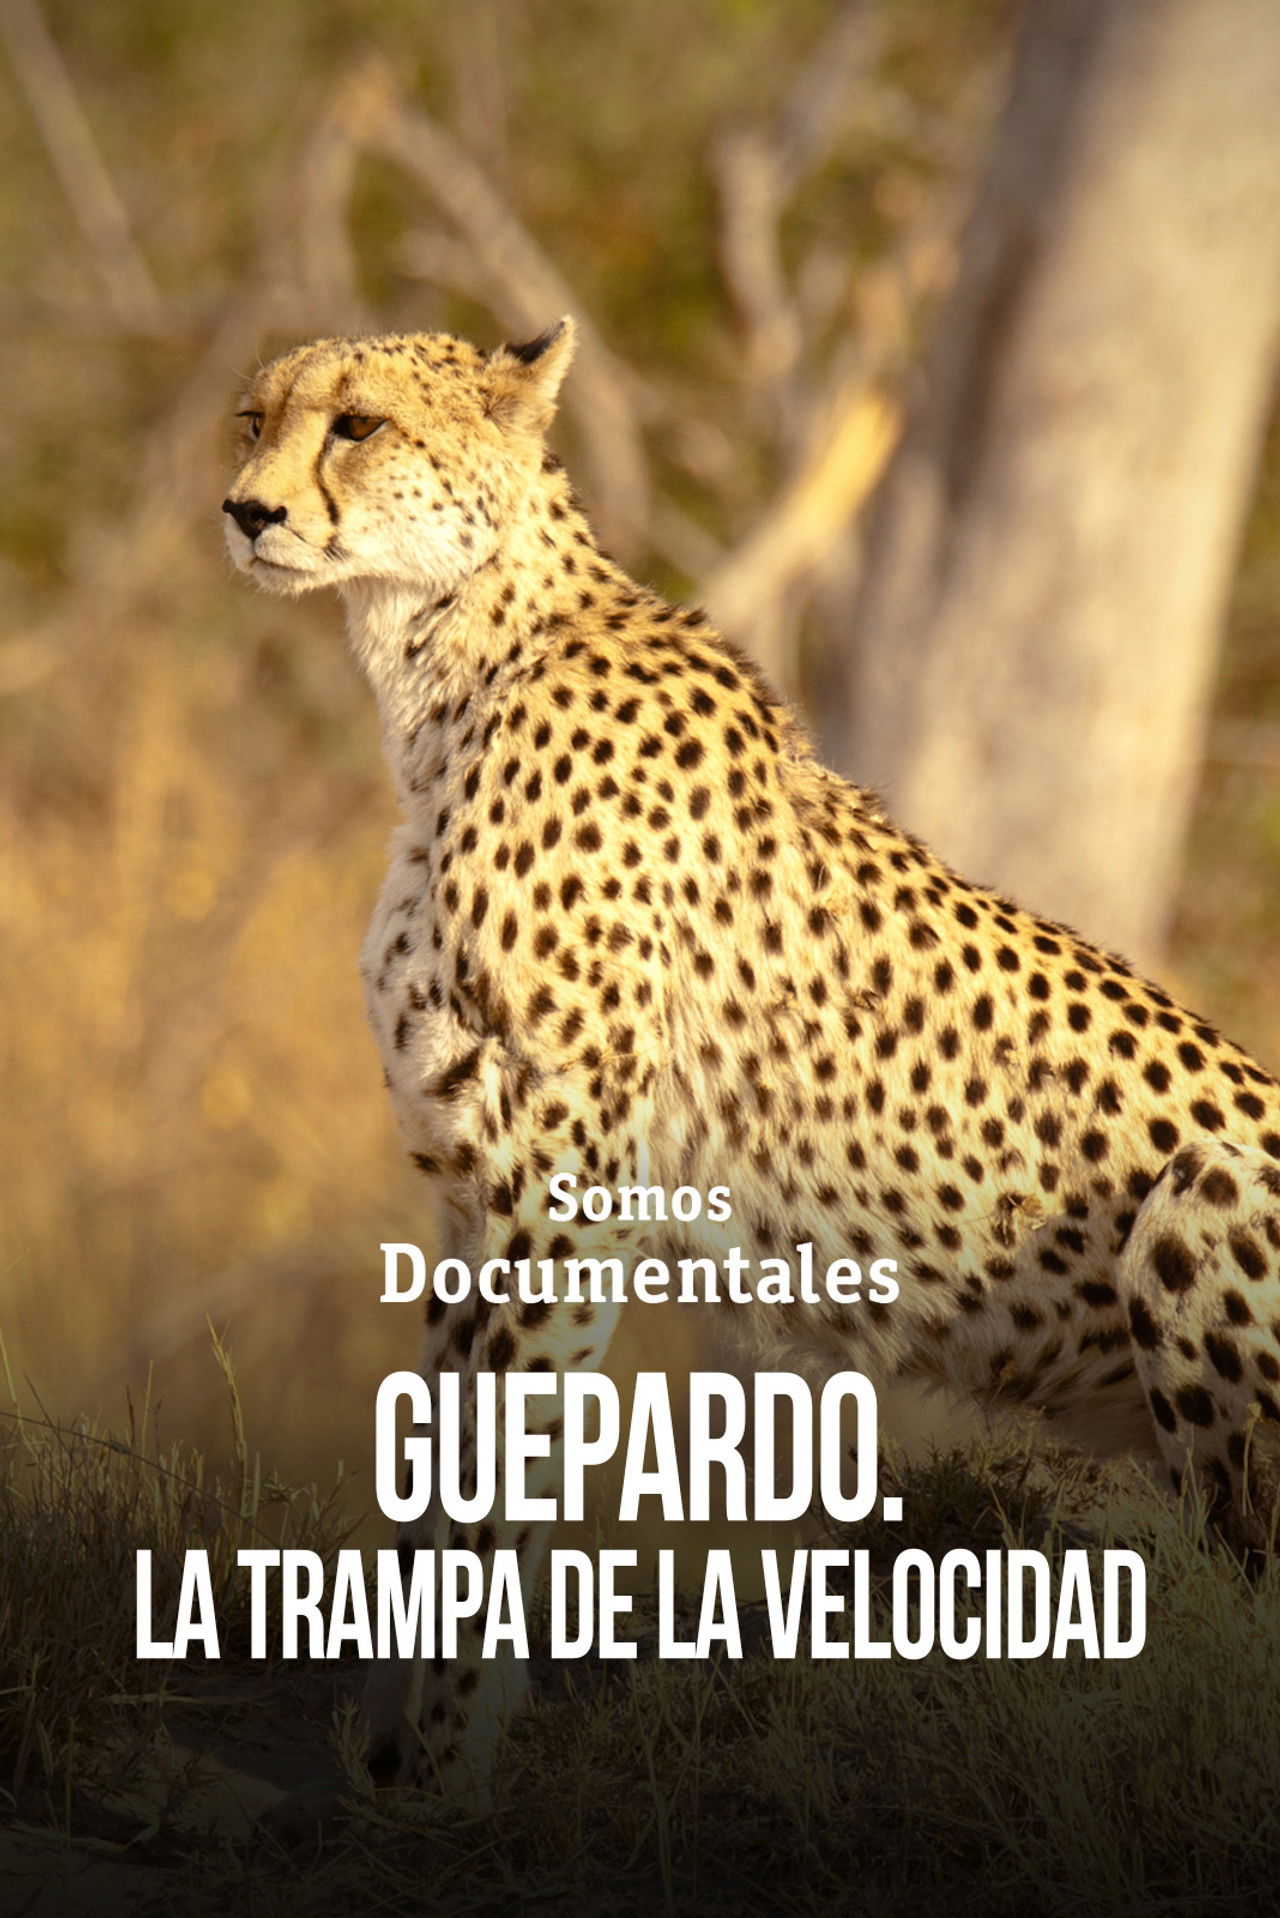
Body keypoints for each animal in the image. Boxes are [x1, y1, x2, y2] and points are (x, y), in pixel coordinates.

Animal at [224, 315, 1280, 1798]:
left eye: (358, 423)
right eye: (254, 419)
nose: (243, 510)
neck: (444, 662)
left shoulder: (564, 1193)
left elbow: (501, 1478)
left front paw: (448, 1760)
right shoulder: (468, 1194)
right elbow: (431, 1473)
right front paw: (388, 1746)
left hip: (1211, 1185)